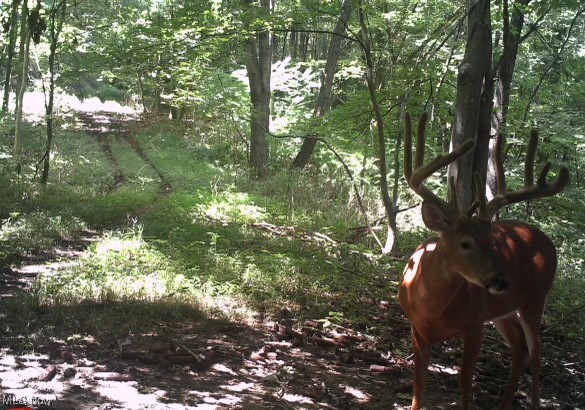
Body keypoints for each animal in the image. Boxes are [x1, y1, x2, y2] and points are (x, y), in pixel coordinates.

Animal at [400, 113, 568, 410]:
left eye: (491, 241)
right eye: (465, 243)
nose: (502, 280)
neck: (429, 305)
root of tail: (547, 240)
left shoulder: (475, 324)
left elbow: (465, 382)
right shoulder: (416, 326)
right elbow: (419, 381)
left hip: (535, 298)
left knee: (536, 354)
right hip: (504, 310)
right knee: (519, 347)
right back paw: (503, 404)